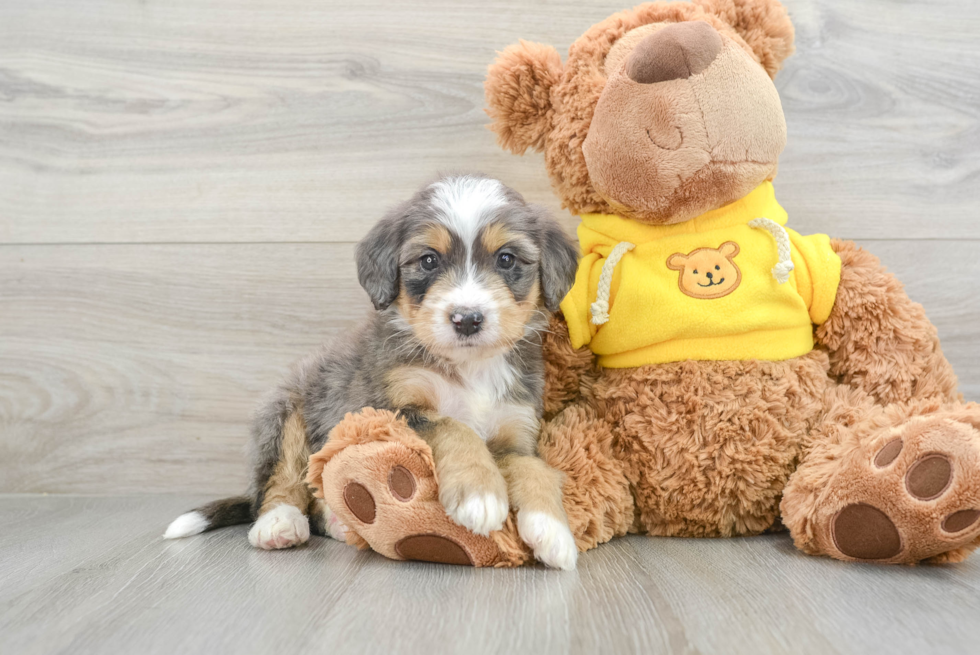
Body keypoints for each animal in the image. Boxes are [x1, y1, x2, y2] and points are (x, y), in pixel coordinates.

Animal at [165, 174, 580, 568]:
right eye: (429, 261)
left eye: (507, 259)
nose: (467, 319)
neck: (469, 366)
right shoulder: (384, 409)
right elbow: (452, 426)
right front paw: (480, 494)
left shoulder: (516, 431)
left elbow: (536, 469)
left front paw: (553, 530)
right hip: (286, 409)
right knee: (281, 481)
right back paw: (280, 524)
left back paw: (336, 521)